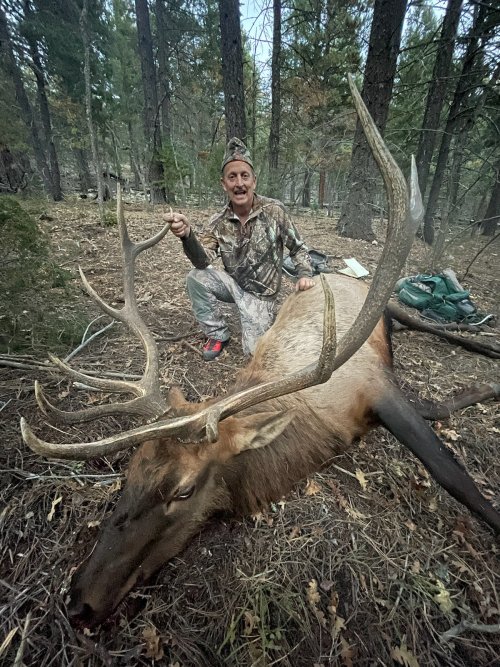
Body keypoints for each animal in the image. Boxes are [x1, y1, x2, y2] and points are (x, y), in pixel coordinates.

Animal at [20, 78, 500, 628]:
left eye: (184, 490)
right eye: (131, 470)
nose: (80, 598)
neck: (324, 424)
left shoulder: (377, 386)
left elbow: (455, 475)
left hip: (390, 307)